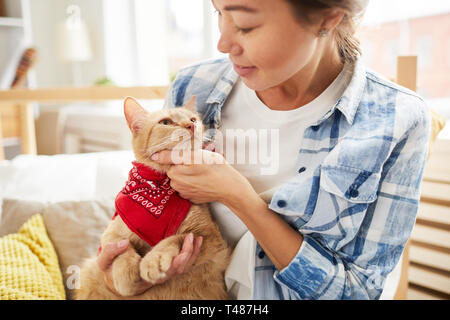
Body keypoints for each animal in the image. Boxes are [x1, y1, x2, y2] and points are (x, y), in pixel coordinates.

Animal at [75, 96, 230, 298]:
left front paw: (154, 259)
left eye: (193, 119)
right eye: (165, 122)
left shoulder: (211, 238)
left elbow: (176, 238)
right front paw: (125, 275)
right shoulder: (111, 233)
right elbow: (120, 248)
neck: (157, 186)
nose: (191, 125)